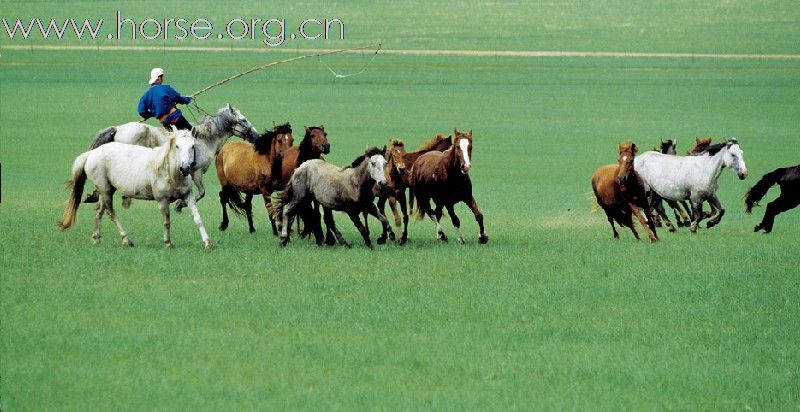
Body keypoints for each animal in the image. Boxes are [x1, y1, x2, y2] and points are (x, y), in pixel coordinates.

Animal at [59, 127, 212, 249]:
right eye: (177, 146)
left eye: (192, 146)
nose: (185, 168)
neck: (170, 172)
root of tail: (91, 154)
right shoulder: (162, 200)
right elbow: (167, 222)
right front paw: (168, 243)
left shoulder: (188, 196)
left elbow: (198, 218)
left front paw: (207, 243)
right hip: (106, 190)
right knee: (111, 212)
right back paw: (126, 240)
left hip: (105, 190)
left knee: (98, 211)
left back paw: (96, 239)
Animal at [88, 104, 258, 204]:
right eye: (243, 120)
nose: (255, 136)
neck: (205, 138)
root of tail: (117, 129)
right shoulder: (196, 171)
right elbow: (201, 192)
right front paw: (179, 204)